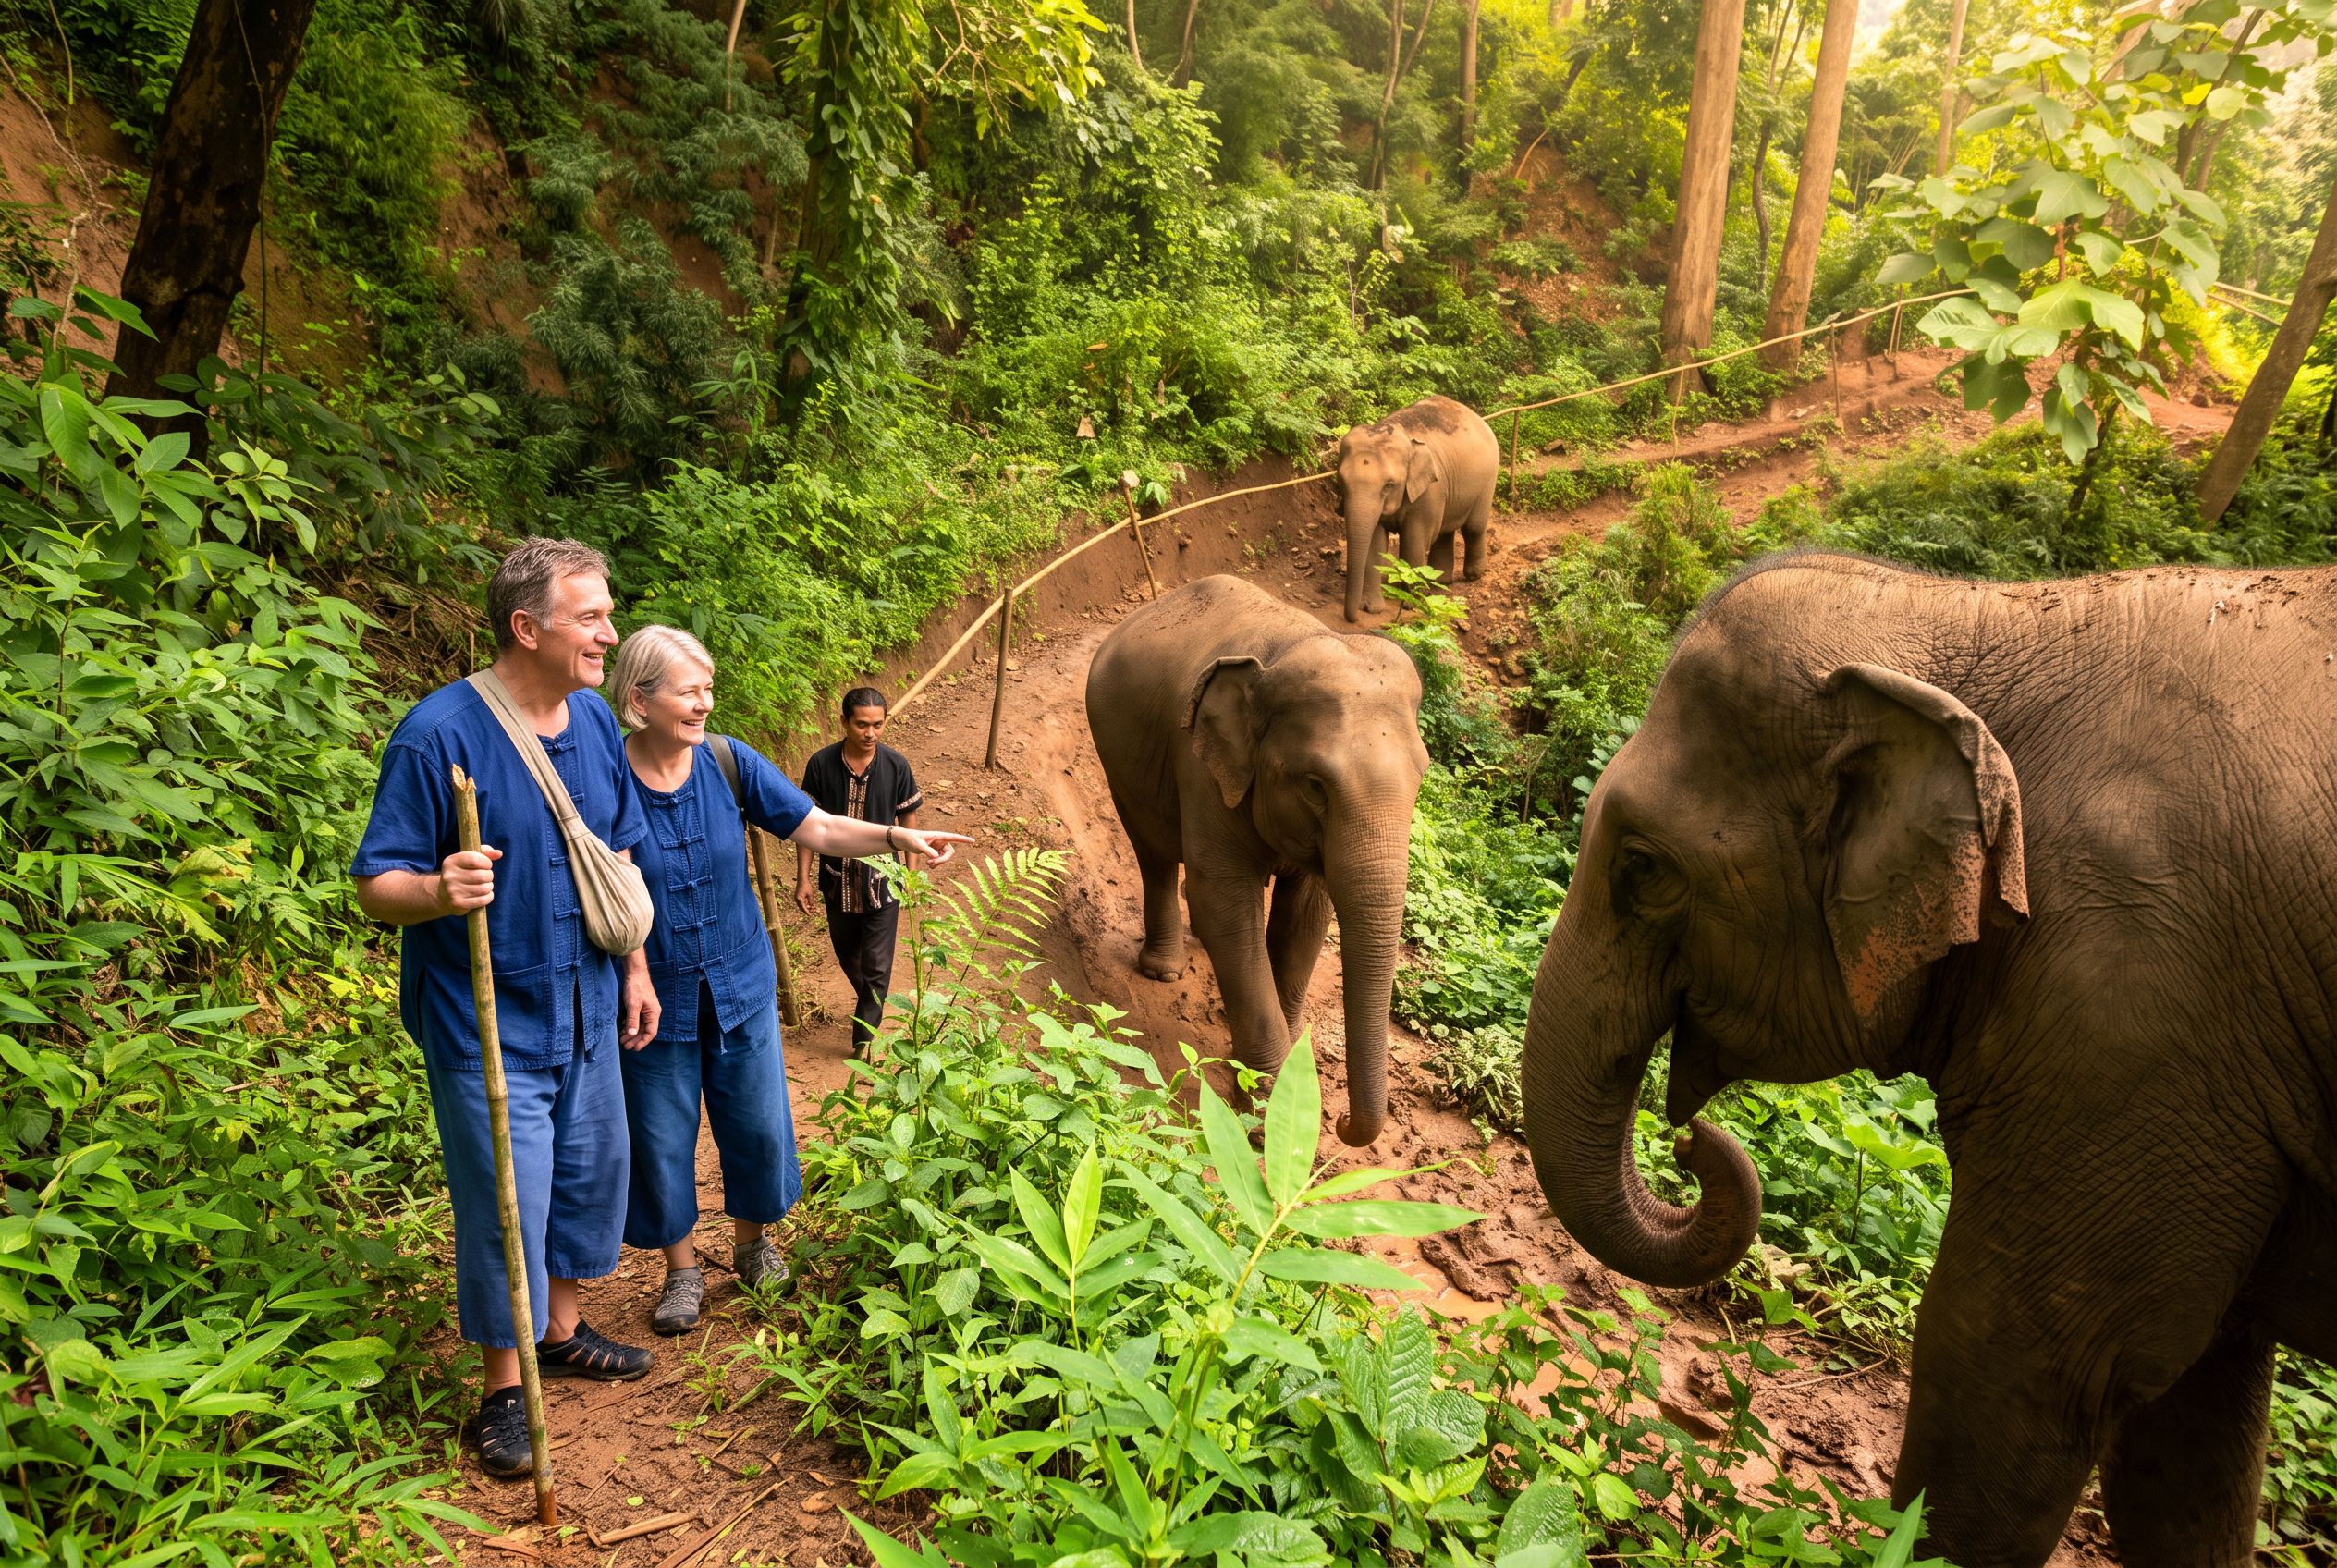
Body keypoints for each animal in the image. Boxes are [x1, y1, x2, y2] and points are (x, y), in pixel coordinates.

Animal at [1085, 574, 1430, 1145]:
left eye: (1423, 775)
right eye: (1316, 786)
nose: (1340, 1120)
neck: (1286, 650)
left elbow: (1305, 920)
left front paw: (1293, 1072)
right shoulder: (1201, 767)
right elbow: (1226, 911)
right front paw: (1263, 1122)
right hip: (1118, 761)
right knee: (1154, 853)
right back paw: (1164, 972)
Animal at [1338, 395, 1502, 623]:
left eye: (1389, 485)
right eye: (1342, 481)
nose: (1352, 618)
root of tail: (1477, 417)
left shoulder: (1430, 490)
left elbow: (1414, 540)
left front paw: (1411, 604)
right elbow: (1375, 542)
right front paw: (1371, 608)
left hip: (1487, 481)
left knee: (1473, 528)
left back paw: (1472, 575)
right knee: (1444, 531)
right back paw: (1441, 581)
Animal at [1518, 551, 2337, 1568]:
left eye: (1642, 867)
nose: (1689, 1143)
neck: (1981, 616)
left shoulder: (2135, 1008)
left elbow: (2017, 1359)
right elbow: (2189, 1416)